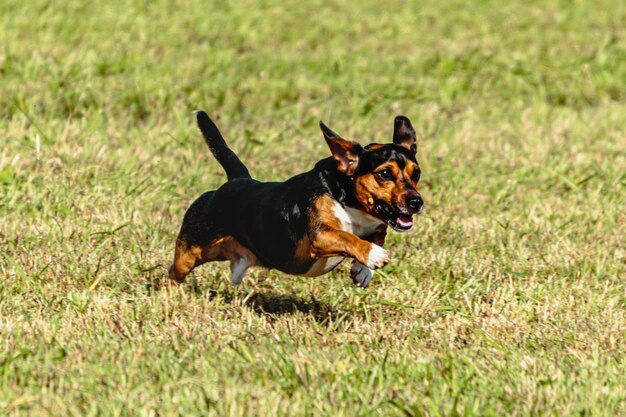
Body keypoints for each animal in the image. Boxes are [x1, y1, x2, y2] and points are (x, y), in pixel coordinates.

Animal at [169, 110, 424, 288]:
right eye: (384, 173)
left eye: (417, 173)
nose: (416, 202)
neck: (349, 202)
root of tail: (237, 180)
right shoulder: (320, 236)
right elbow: (348, 237)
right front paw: (372, 254)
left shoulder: (378, 226)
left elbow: (377, 237)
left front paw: (363, 269)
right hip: (190, 252)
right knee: (173, 272)